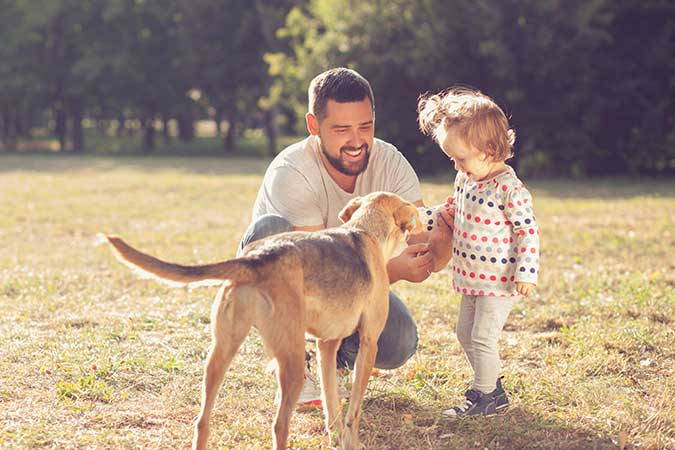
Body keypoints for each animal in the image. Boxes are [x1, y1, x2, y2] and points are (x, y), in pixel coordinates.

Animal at [100, 191, 422, 450]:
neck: (363, 230)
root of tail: (256, 259)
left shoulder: (326, 346)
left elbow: (332, 407)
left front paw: (336, 439)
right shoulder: (368, 343)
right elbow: (353, 411)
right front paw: (351, 442)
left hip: (220, 354)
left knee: (202, 421)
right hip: (291, 359)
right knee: (279, 425)